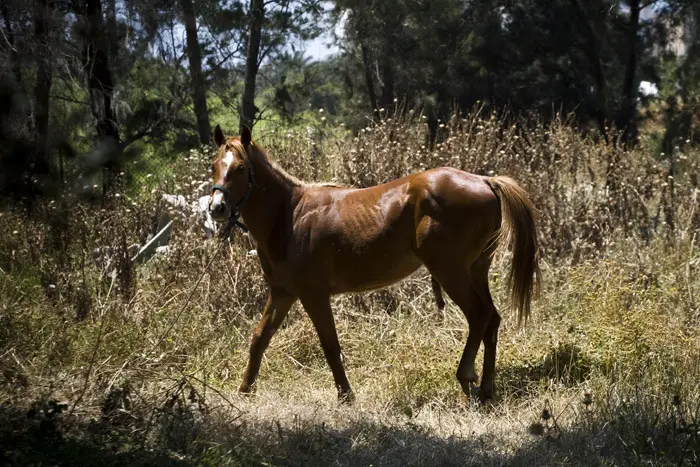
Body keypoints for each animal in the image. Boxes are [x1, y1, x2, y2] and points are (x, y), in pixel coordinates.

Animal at [208, 124, 540, 402]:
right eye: (214, 166)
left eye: (240, 168)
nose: (216, 208)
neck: (290, 216)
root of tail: (485, 180)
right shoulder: (282, 293)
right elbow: (259, 338)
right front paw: (244, 390)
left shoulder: (313, 295)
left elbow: (330, 345)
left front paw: (345, 395)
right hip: (476, 270)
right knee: (491, 319)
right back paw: (487, 387)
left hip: (451, 272)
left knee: (479, 316)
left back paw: (466, 377)